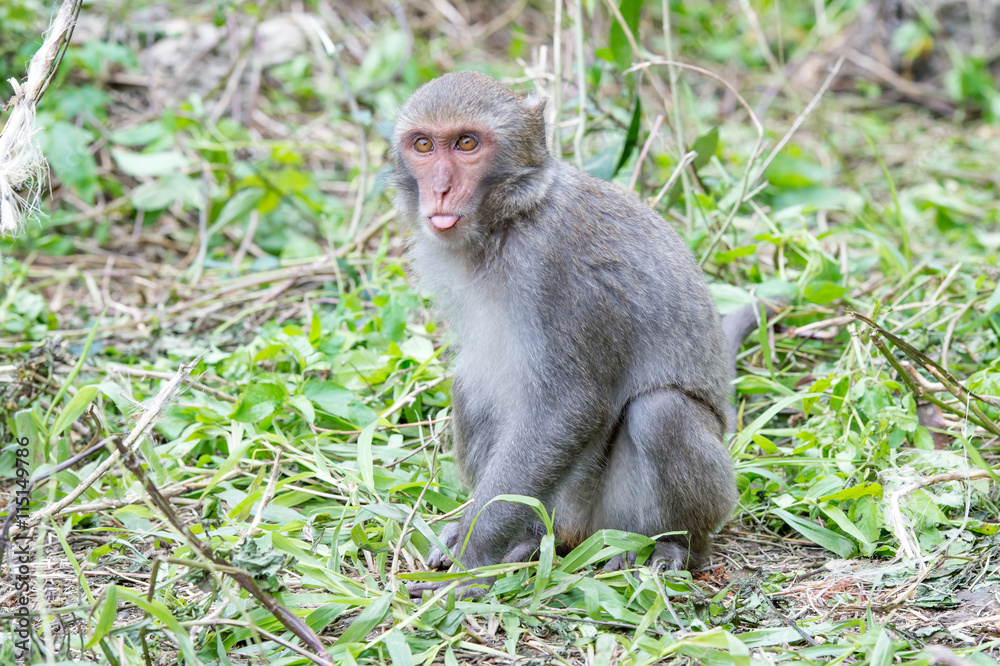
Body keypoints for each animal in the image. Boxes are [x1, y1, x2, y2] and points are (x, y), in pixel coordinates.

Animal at [388, 72, 756, 596]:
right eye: (423, 145)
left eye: (466, 144)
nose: (438, 189)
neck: (511, 219)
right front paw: (467, 539)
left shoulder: (557, 270)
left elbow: (567, 408)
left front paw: (470, 563)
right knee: (472, 385)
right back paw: (528, 540)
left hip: (619, 510)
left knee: (661, 412)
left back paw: (676, 547)